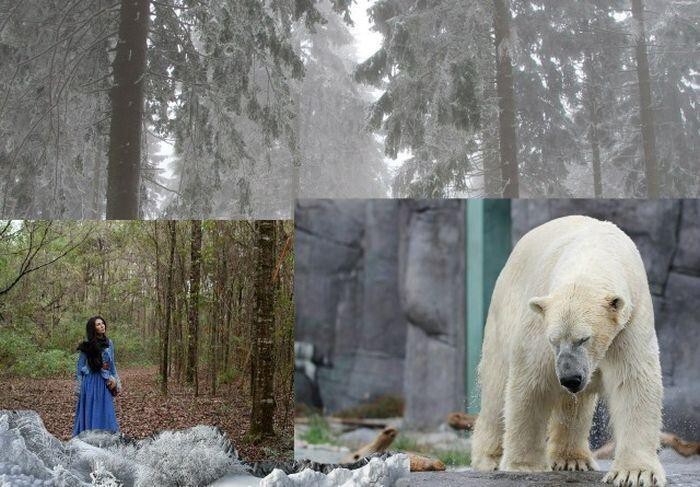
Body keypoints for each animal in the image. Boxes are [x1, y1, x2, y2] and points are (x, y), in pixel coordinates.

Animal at [470, 216, 668, 487]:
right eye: (554, 340)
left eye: (584, 339)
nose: (570, 378)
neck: (591, 254)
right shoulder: (540, 321)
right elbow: (532, 382)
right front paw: (525, 465)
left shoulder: (628, 322)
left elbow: (632, 382)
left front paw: (635, 473)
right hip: (503, 311)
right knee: (496, 388)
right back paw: (489, 458)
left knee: (574, 405)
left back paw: (572, 459)